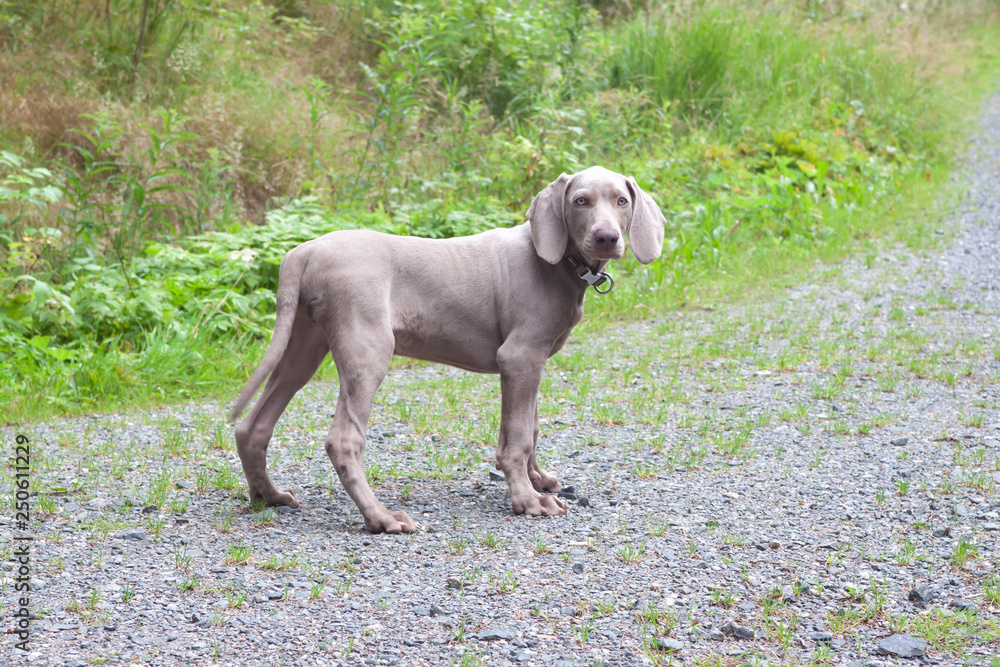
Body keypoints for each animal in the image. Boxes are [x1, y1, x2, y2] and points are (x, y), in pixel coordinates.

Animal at [231, 166, 668, 532]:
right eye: (580, 201)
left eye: (621, 201)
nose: (607, 238)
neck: (558, 264)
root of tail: (303, 252)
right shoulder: (519, 357)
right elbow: (518, 436)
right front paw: (528, 500)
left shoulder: (532, 363)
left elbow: (530, 426)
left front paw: (538, 479)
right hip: (367, 348)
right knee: (343, 440)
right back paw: (381, 518)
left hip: (304, 345)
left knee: (253, 426)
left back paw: (269, 496)